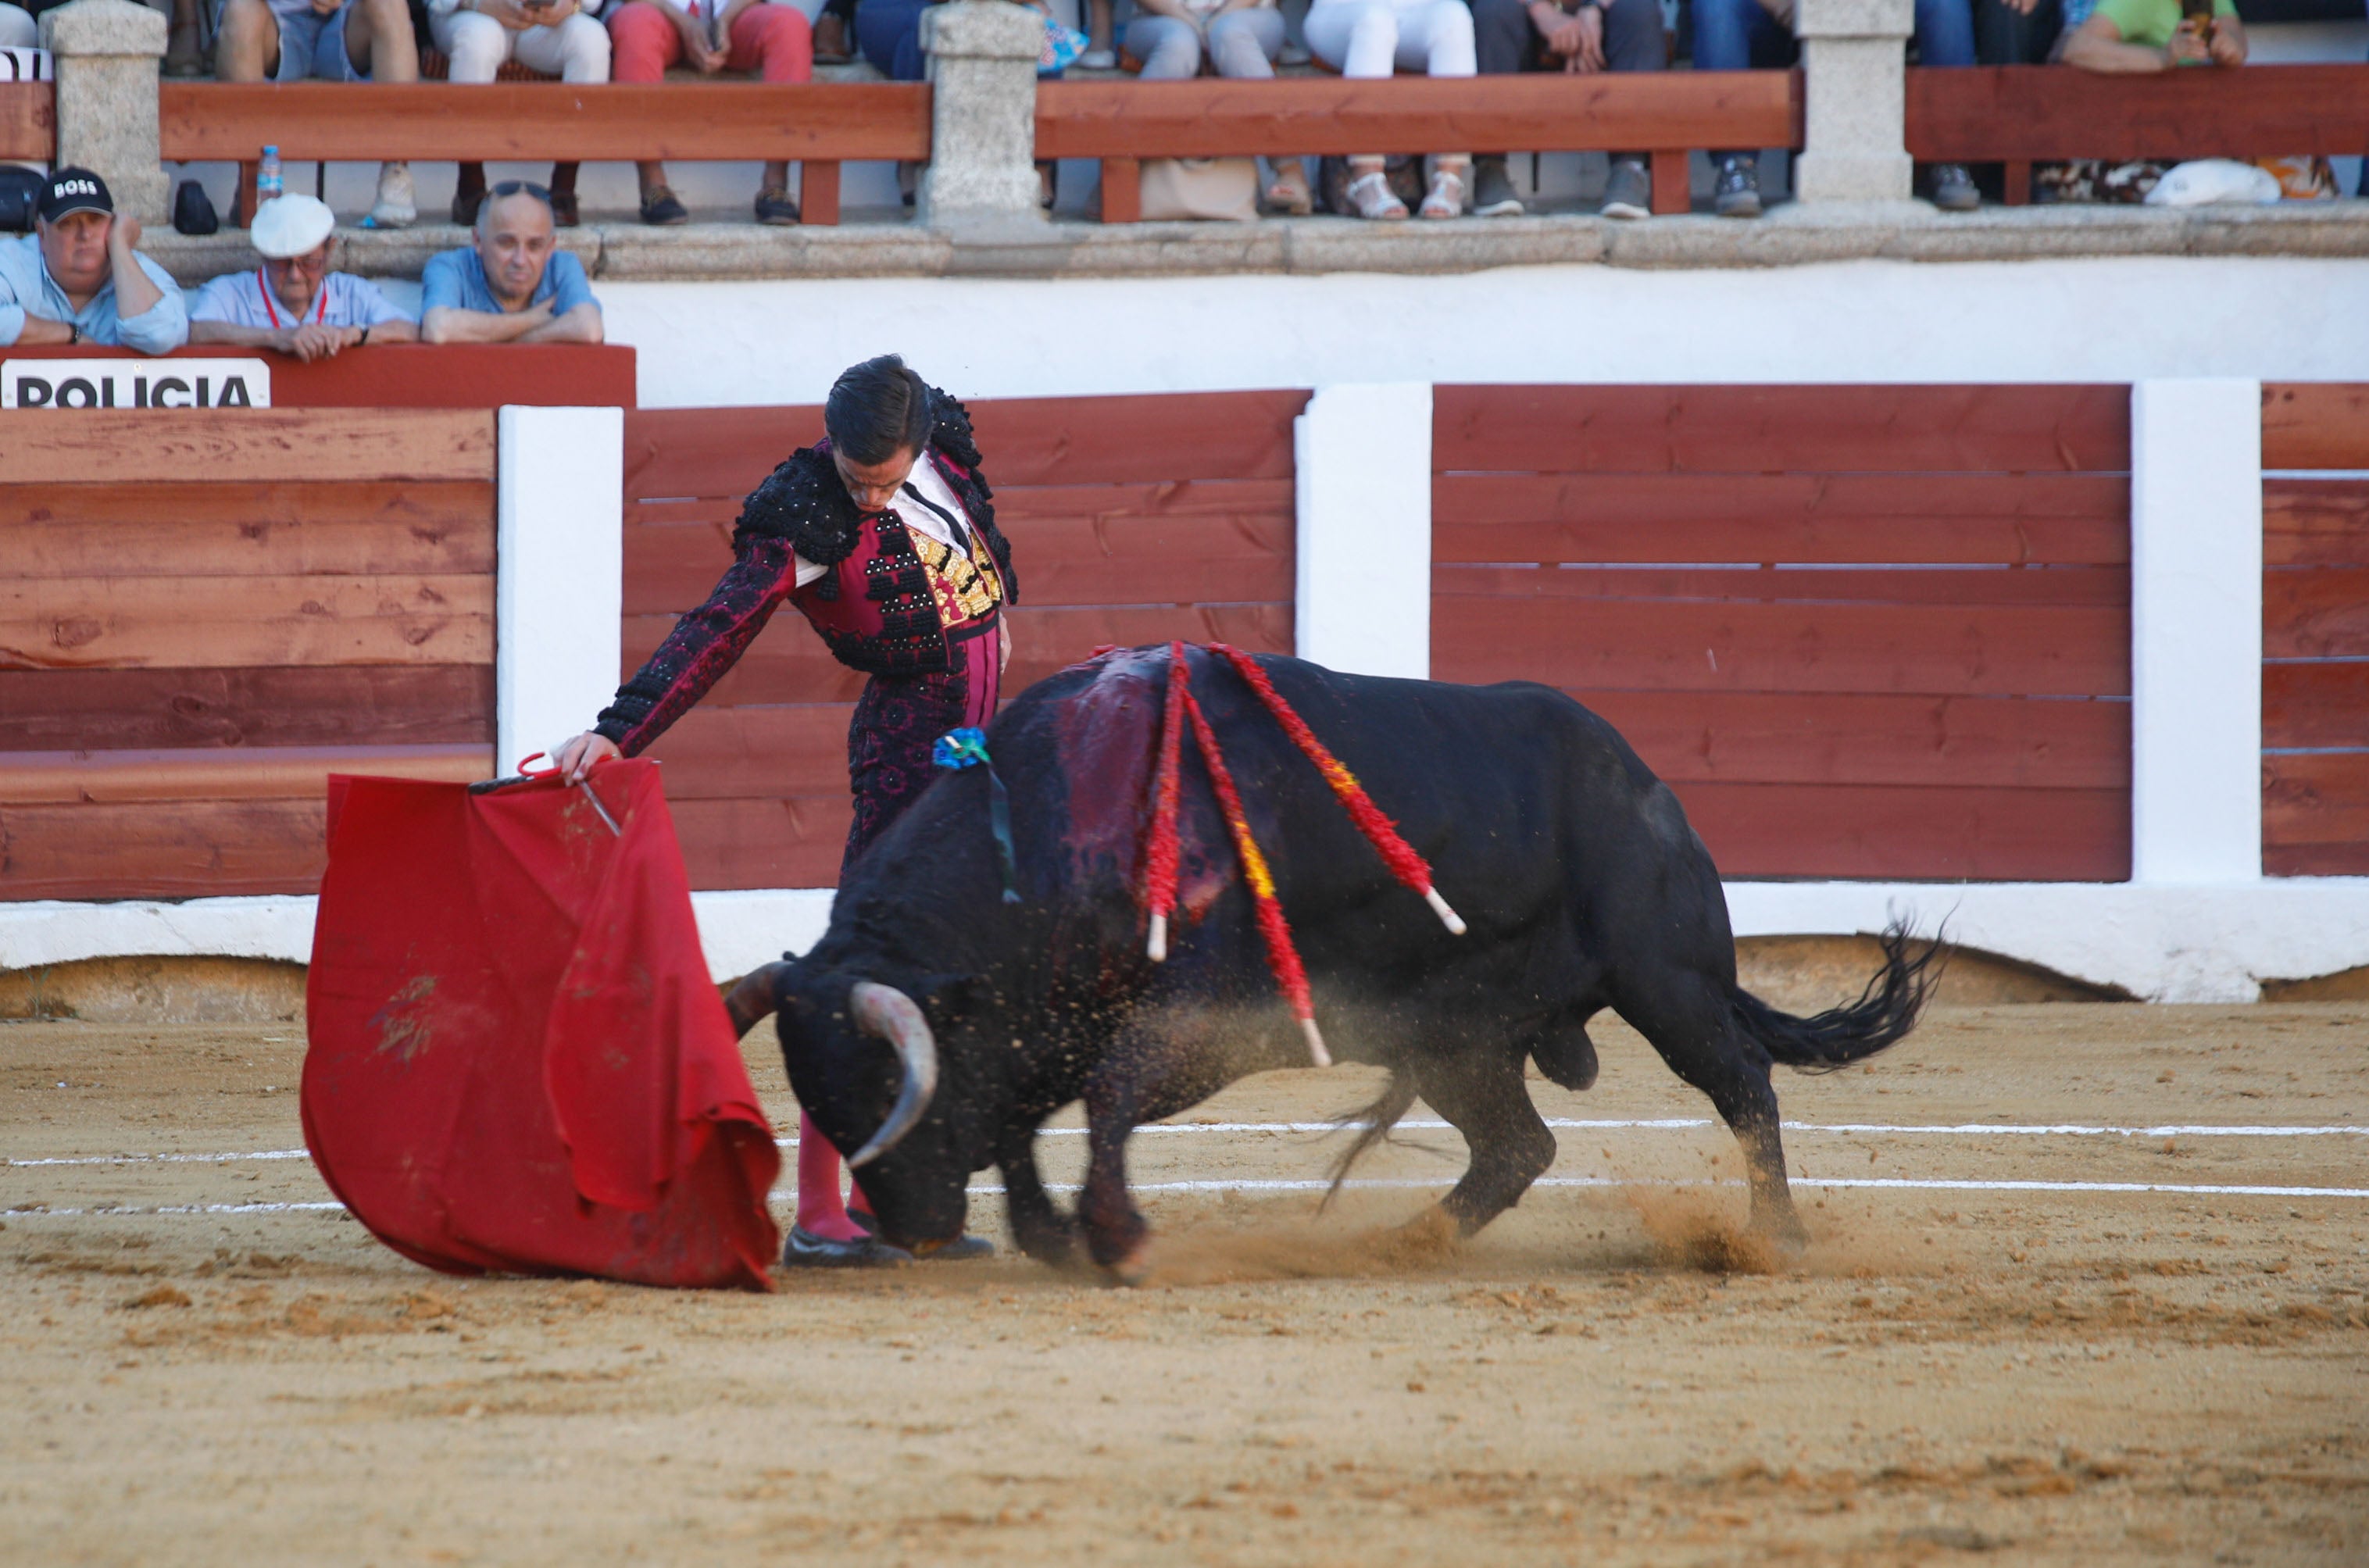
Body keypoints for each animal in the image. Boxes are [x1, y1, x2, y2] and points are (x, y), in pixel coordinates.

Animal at [729, 648, 1933, 1279]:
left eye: (886, 1087)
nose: (915, 1229)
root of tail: (1648, 783)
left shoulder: (1205, 1020)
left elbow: (1107, 1099)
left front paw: (1110, 1232)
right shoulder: (1044, 1026)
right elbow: (1031, 1118)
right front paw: (1054, 1235)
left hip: (1667, 983)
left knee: (1743, 1085)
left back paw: (1774, 1238)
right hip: (1456, 1038)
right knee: (1518, 1144)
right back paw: (1409, 1240)